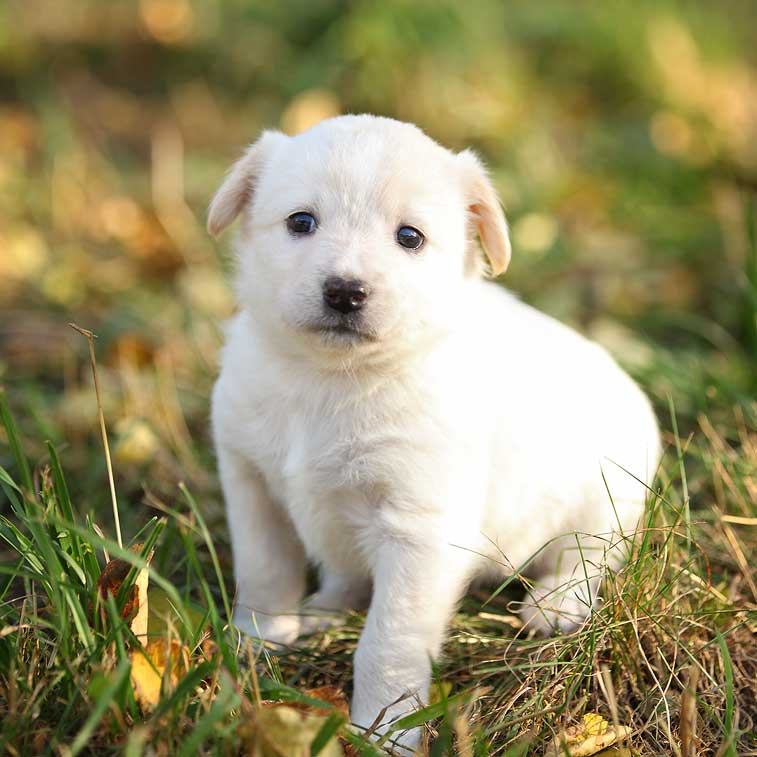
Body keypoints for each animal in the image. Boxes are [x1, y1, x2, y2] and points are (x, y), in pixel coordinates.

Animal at [205, 113, 656, 744]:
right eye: (301, 221)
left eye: (410, 237)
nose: (345, 291)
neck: (332, 379)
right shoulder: (251, 486)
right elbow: (264, 572)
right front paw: (258, 643)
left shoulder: (419, 533)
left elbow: (387, 645)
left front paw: (384, 733)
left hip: (606, 503)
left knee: (587, 559)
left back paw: (555, 605)